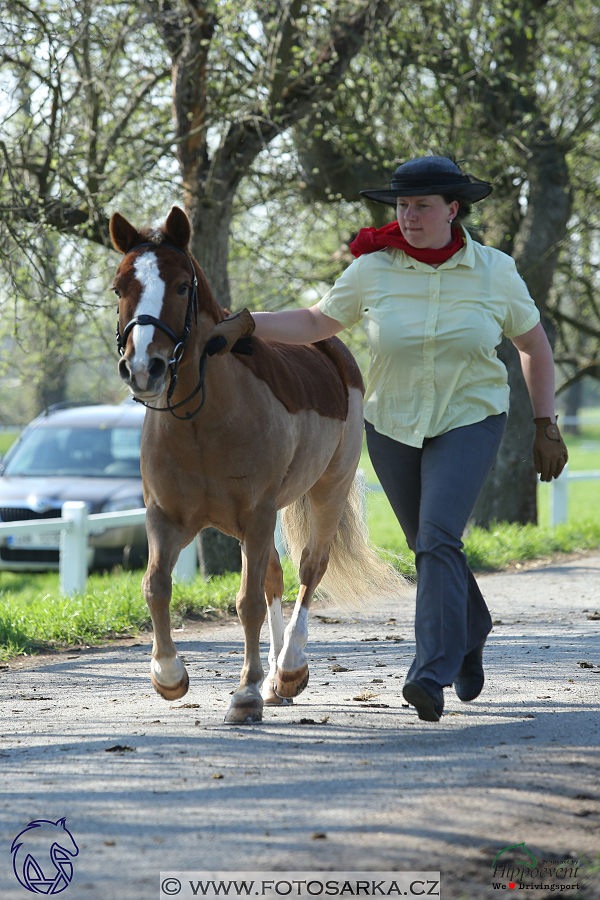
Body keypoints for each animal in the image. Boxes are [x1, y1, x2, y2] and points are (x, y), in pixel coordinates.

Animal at [110, 206, 406, 724]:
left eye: (182, 286)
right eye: (118, 287)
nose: (144, 368)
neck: (202, 422)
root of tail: (333, 350)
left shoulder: (256, 514)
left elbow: (246, 602)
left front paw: (244, 694)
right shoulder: (166, 519)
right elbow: (156, 586)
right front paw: (169, 675)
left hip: (325, 491)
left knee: (309, 569)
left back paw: (288, 670)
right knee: (275, 578)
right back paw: (273, 681)